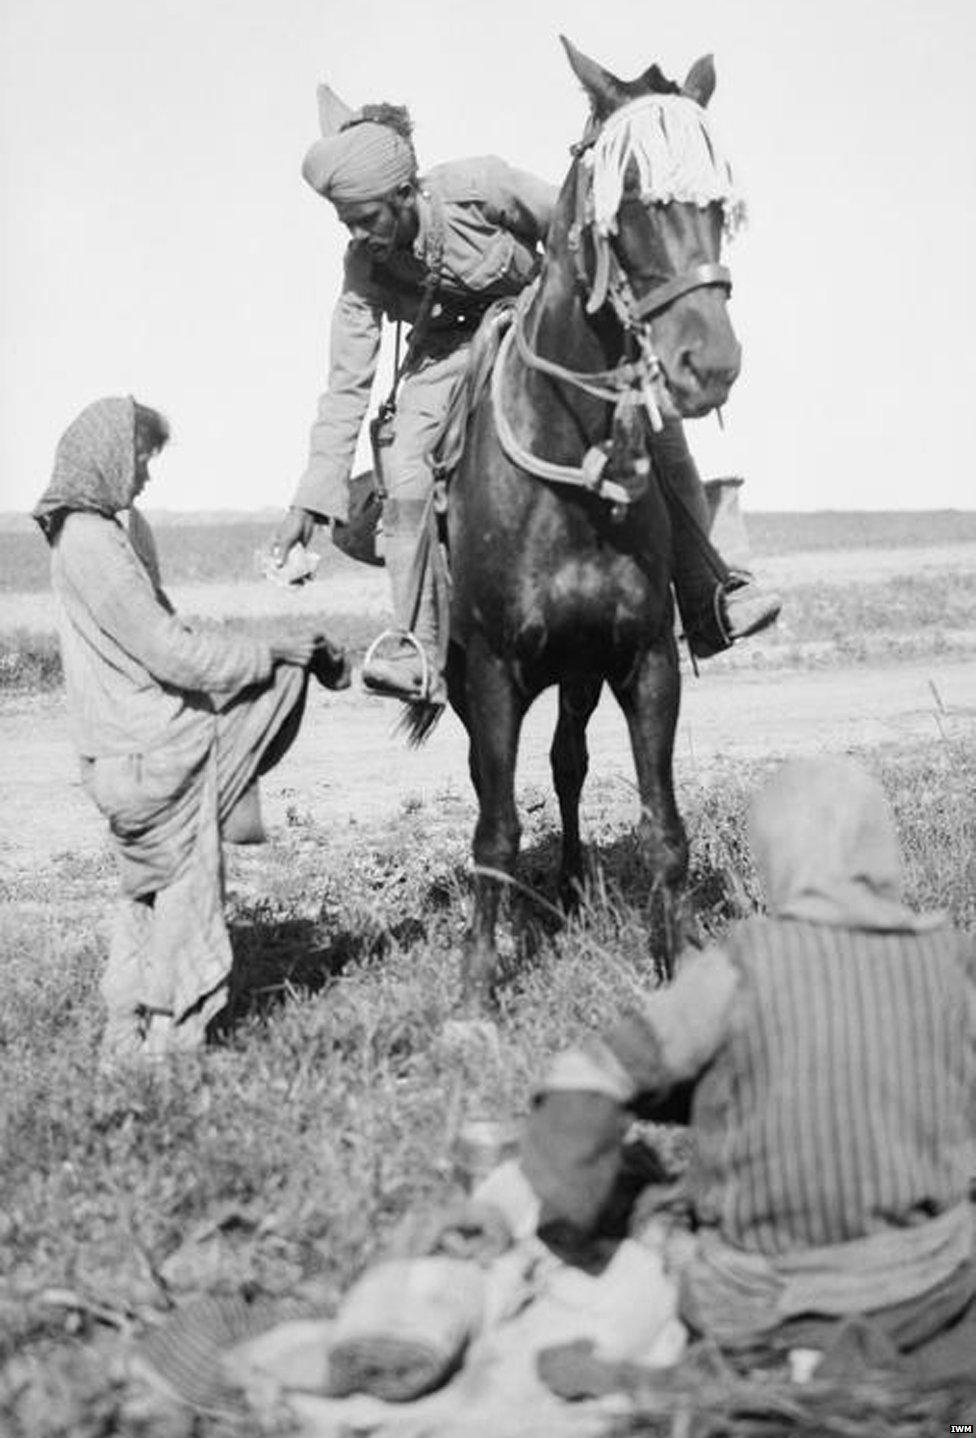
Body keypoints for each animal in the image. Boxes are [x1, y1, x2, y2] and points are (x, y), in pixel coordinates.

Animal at [442, 36, 741, 1012]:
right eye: (629, 194)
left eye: (719, 200)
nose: (710, 363)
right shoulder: (494, 671)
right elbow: (495, 830)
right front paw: (477, 991)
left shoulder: (645, 660)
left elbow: (662, 826)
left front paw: (676, 958)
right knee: (497, 781)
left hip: (577, 673)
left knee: (568, 760)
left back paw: (573, 886)